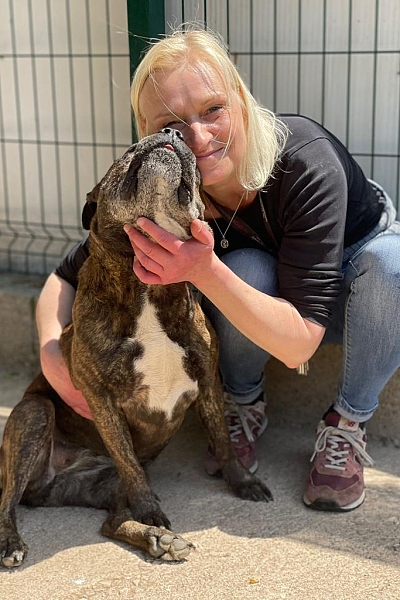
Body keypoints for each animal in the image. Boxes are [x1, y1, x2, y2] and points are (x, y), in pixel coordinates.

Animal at [0, 128, 272, 567]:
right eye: (127, 151)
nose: (172, 132)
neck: (145, 285)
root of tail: (49, 487)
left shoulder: (209, 383)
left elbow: (223, 440)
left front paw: (241, 481)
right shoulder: (102, 401)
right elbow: (130, 464)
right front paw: (152, 512)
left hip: (105, 484)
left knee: (112, 522)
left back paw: (159, 539)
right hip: (34, 414)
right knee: (9, 500)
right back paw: (13, 542)